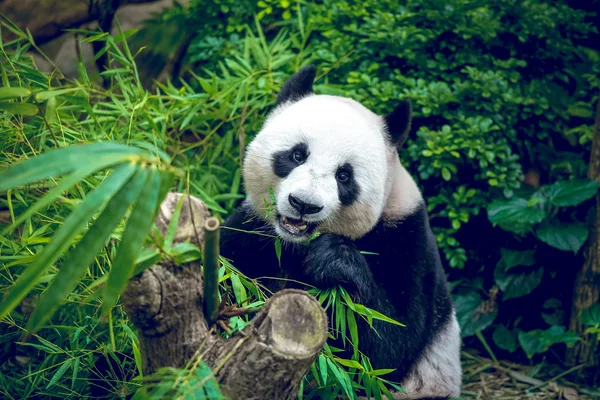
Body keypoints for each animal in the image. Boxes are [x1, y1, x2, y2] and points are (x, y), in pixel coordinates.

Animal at [219, 66, 460, 400]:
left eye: (344, 176)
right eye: (297, 155)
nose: (304, 204)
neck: (295, 244)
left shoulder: (407, 239)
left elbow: (385, 349)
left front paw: (333, 260)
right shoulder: (252, 230)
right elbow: (225, 272)